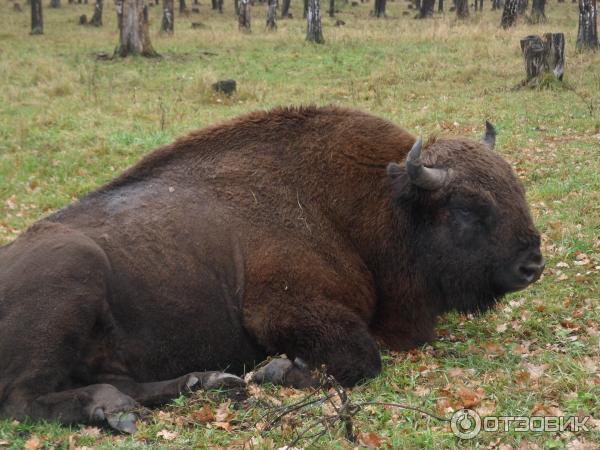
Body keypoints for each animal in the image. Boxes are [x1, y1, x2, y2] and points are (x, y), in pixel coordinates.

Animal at [0, 106, 544, 432]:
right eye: (467, 209)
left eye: (515, 188)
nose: (532, 265)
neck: (377, 206)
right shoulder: (282, 310)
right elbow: (361, 360)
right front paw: (277, 370)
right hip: (74, 273)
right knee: (22, 399)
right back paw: (113, 408)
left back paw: (202, 383)